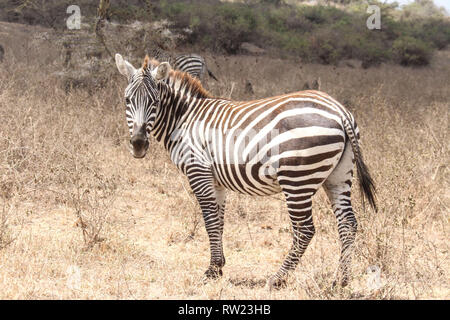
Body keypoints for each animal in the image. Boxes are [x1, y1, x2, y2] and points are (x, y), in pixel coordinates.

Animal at [115, 53, 376, 288]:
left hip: (297, 179)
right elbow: (219, 220)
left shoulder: (198, 170)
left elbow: (209, 220)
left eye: (155, 102)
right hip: (338, 176)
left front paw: (211, 271)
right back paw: (340, 281)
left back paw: (277, 279)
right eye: (127, 100)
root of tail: (339, 110)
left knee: (305, 230)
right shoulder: (216, 180)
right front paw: (219, 265)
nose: (138, 144)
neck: (184, 118)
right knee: (348, 224)